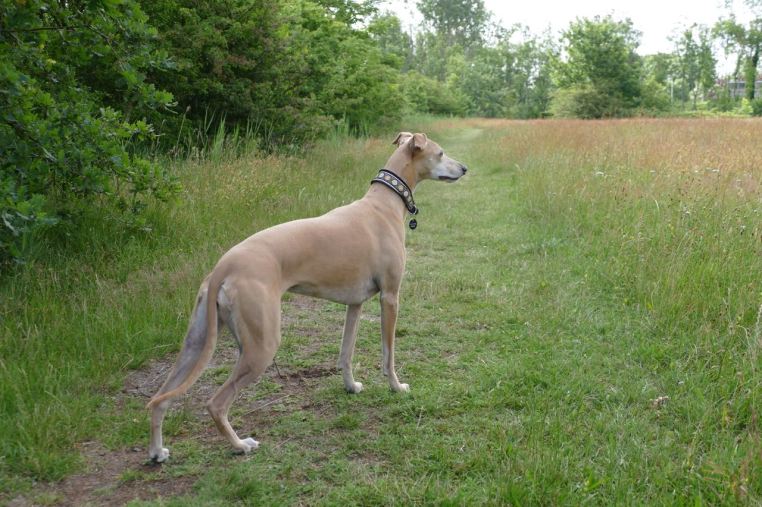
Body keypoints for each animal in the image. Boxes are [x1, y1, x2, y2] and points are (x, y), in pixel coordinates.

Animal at [146, 132, 467, 462]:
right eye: (440, 153)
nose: (465, 169)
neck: (383, 204)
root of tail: (223, 266)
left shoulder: (355, 303)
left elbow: (345, 354)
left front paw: (351, 386)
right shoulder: (390, 297)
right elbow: (387, 354)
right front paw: (397, 387)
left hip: (196, 341)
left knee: (158, 400)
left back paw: (158, 451)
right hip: (262, 345)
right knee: (216, 403)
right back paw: (240, 445)